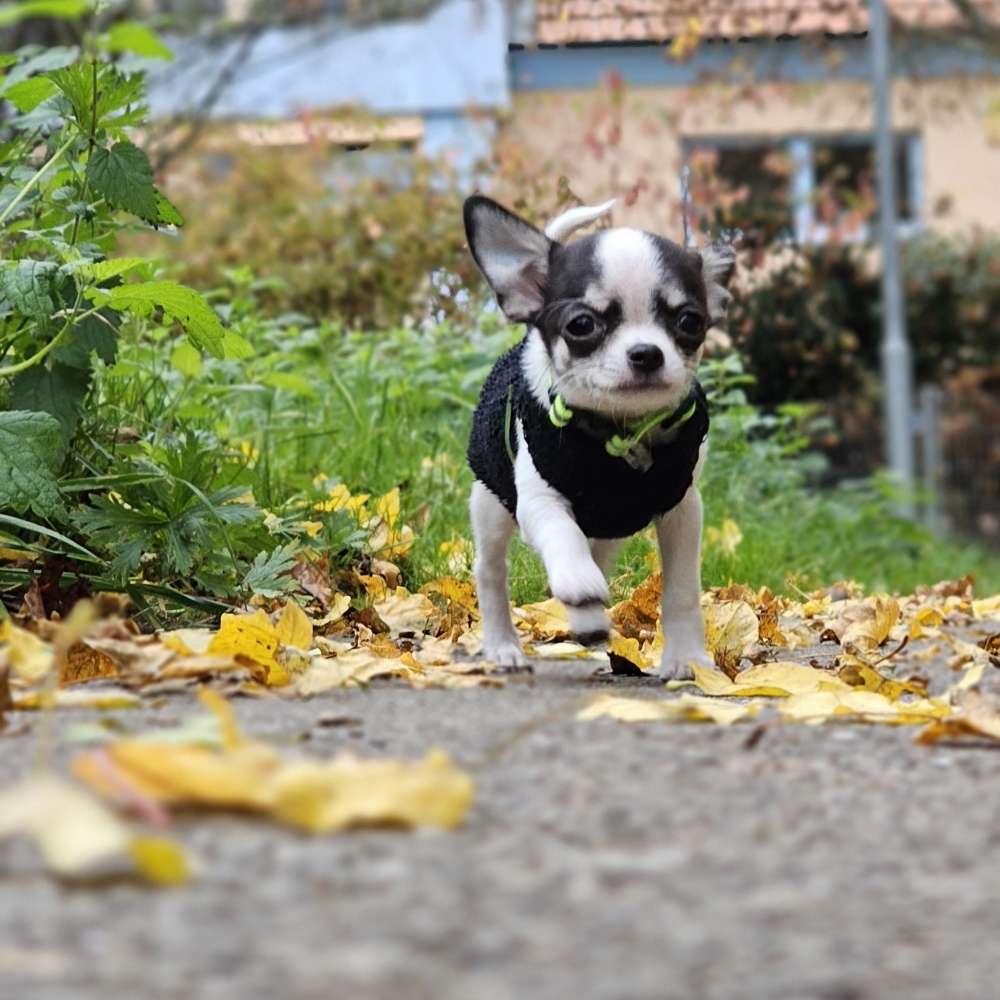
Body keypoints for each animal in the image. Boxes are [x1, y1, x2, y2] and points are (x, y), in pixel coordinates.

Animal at [462, 195, 736, 680]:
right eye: (581, 325)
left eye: (690, 321)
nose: (646, 353)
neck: (621, 433)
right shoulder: (538, 499)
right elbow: (561, 533)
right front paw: (575, 578)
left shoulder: (683, 509)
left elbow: (682, 589)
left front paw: (687, 657)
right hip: (492, 506)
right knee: (492, 571)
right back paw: (503, 646)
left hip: (612, 530)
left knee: (599, 558)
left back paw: (587, 618)